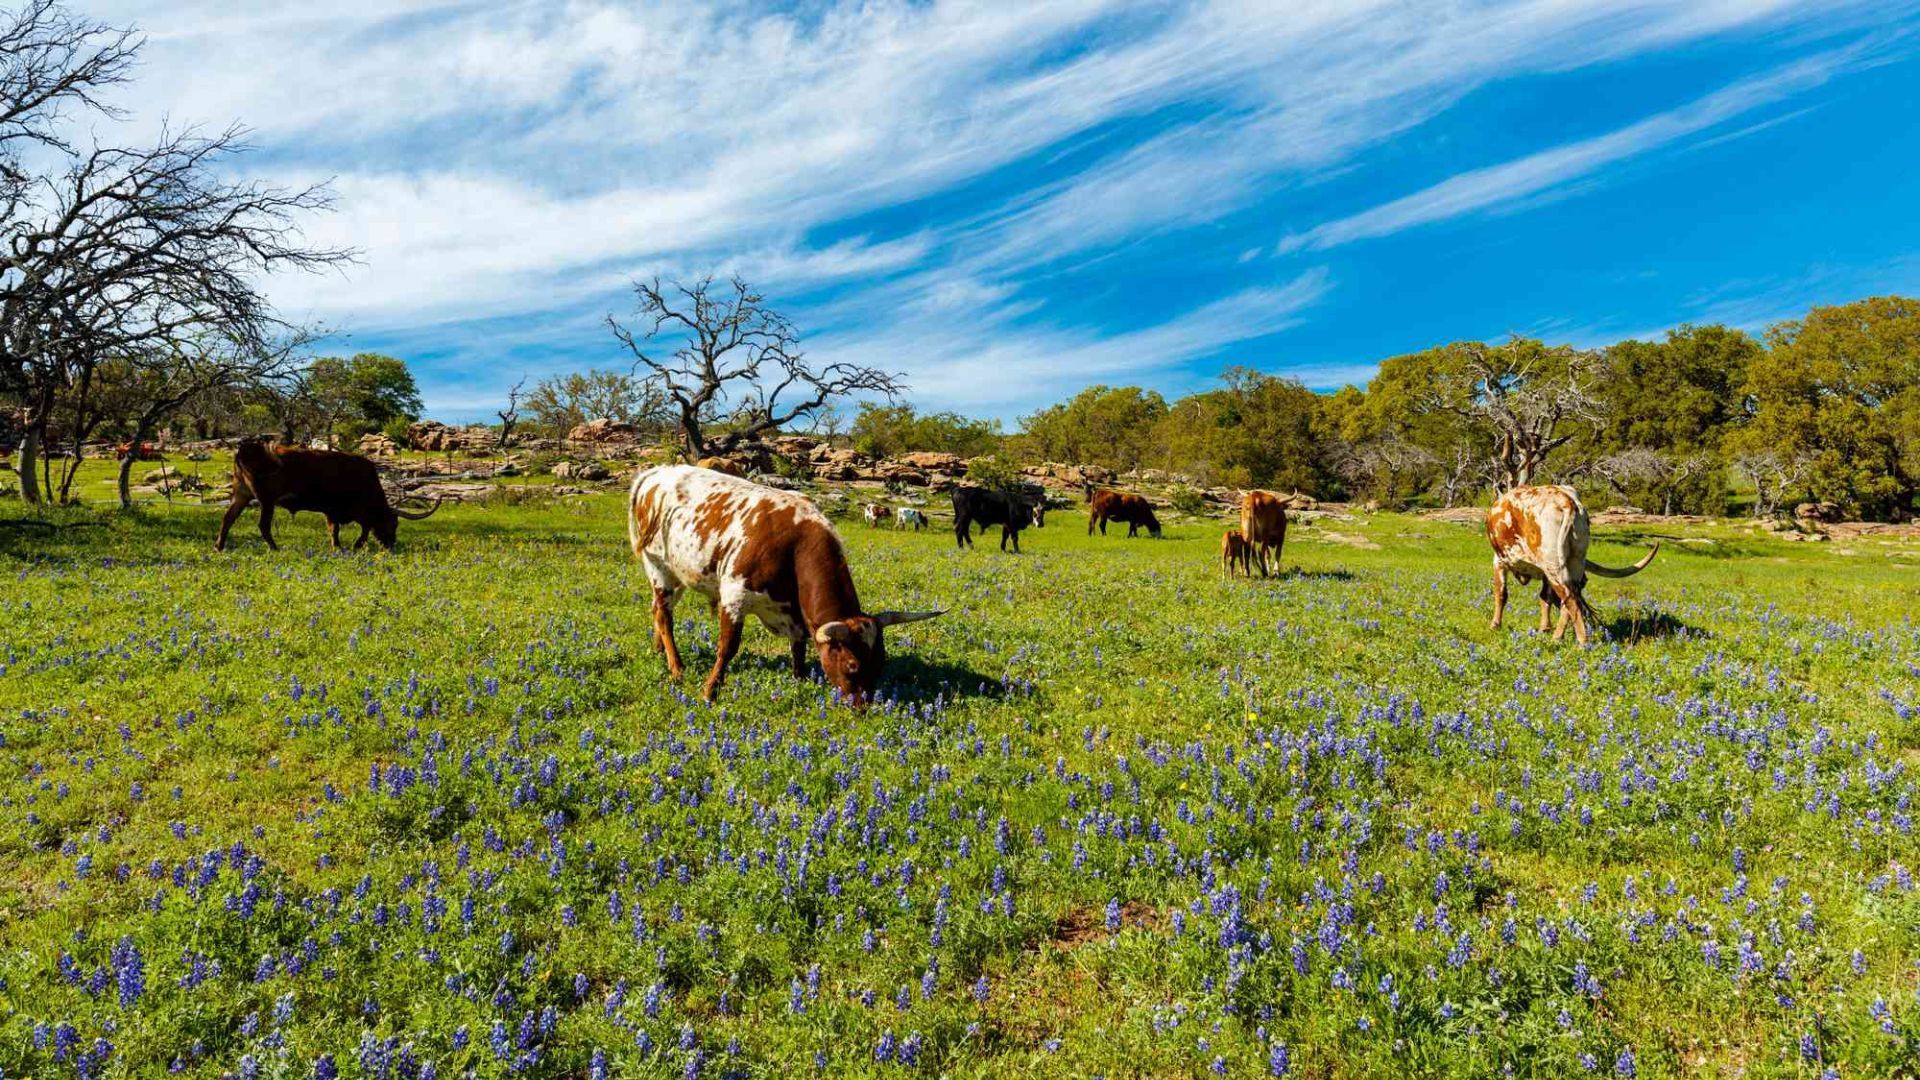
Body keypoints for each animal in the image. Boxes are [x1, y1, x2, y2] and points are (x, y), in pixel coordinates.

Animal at [216, 438, 439, 549]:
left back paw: (218, 546)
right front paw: (349, 546)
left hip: (241, 495)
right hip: (266, 500)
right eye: (394, 524)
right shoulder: (337, 508)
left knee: (228, 519)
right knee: (263, 525)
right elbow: (349, 528)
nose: (391, 544)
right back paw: (274, 548)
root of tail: (244, 449)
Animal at [633, 465, 940, 703]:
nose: (863, 706)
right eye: (852, 665)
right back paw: (676, 667)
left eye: (880, 662)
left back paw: (659, 650)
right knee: (664, 615)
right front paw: (711, 690)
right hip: (658, 568)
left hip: (678, 575)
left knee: (657, 611)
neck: (796, 544)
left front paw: (801, 680)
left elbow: (799, 647)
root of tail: (655, 472)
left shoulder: (792, 610)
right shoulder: (734, 597)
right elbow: (728, 647)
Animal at [1489, 484, 1658, 641]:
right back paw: (1558, 637)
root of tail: (1566, 500)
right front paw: (1544, 628)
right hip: (1573, 560)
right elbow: (1545, 597)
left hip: (1553, 565)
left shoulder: (1499, 561)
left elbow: (1501, 594)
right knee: (1570, 597)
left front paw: (1495, 626)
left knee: (1570, 600)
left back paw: (1582, 642)